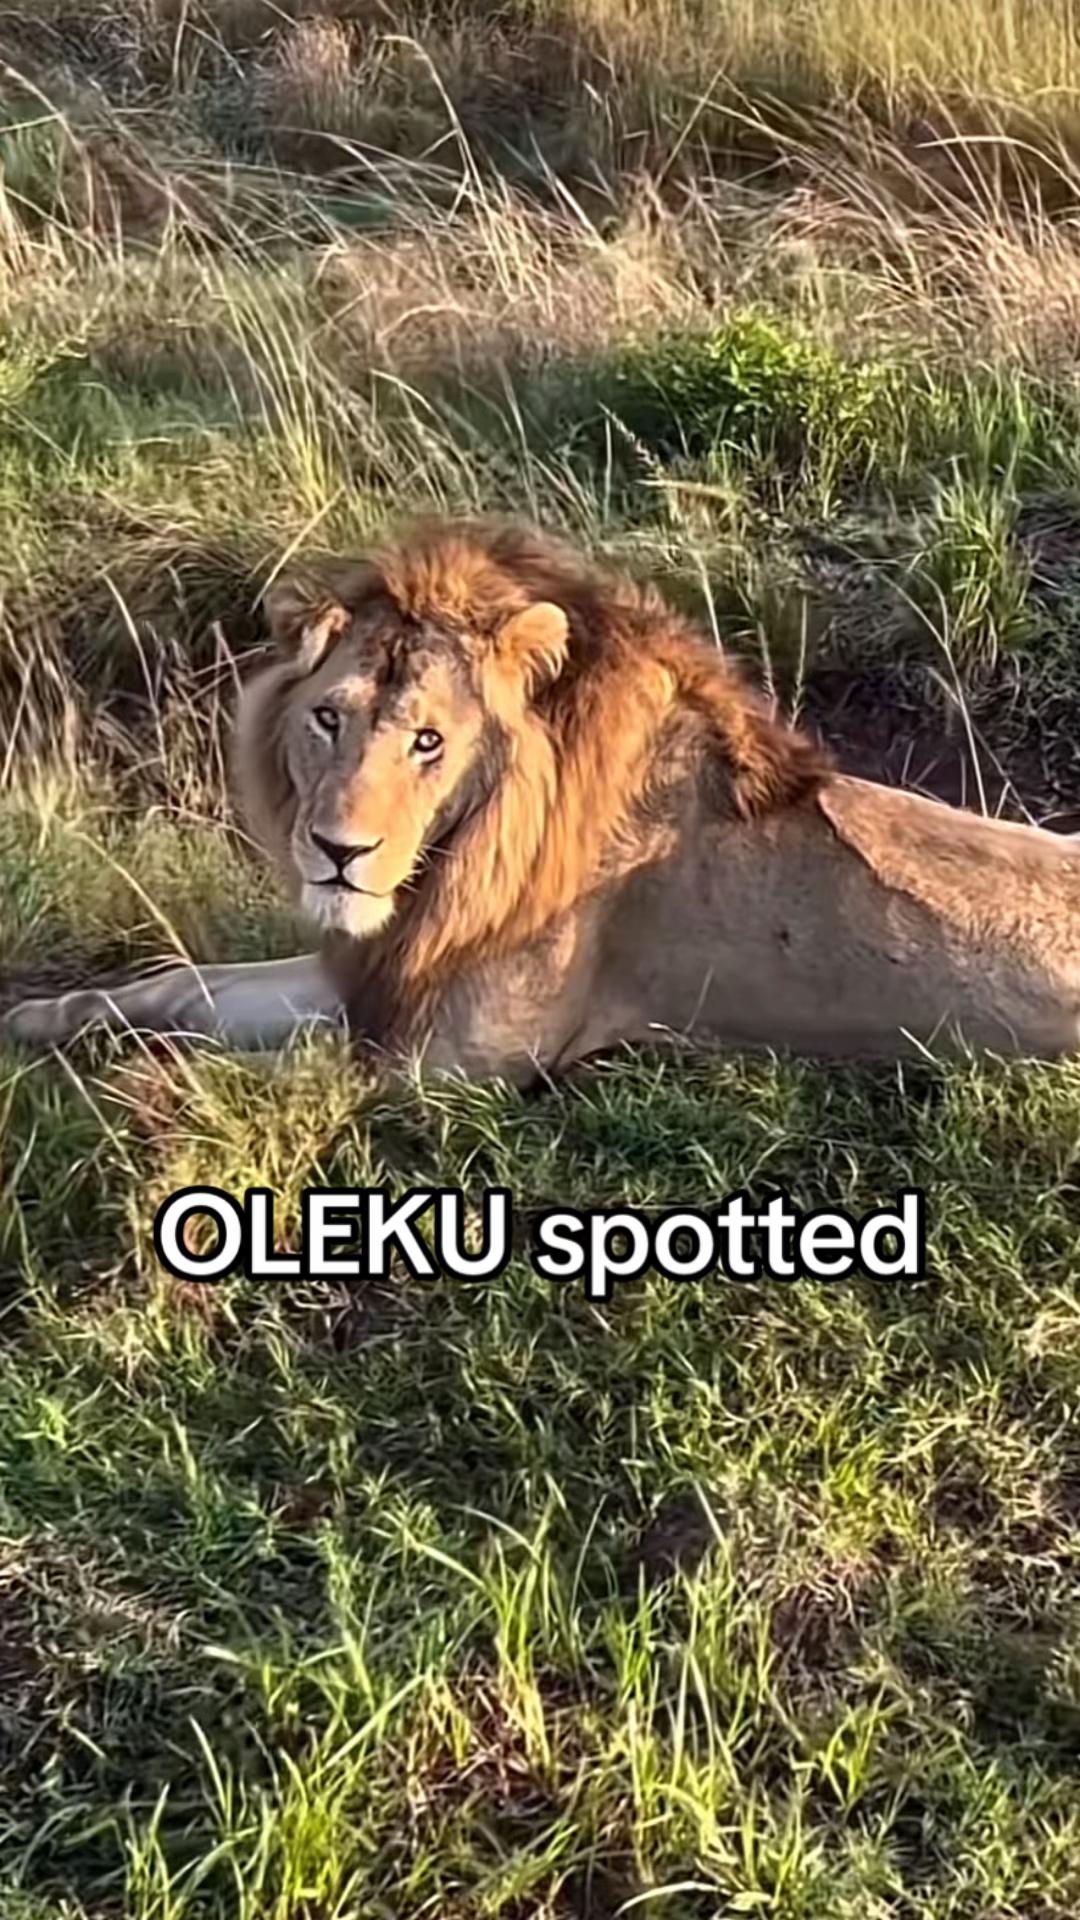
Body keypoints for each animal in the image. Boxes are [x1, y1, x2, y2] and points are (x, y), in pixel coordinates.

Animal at [7, 517, 1080, 1083]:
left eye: (430, 741)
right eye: (327, 719)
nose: (338, 854)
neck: (453, 863)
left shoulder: (453, 1056)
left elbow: (241, 1066)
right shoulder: (378, 971)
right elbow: (181, 985)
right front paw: (43, 1019)